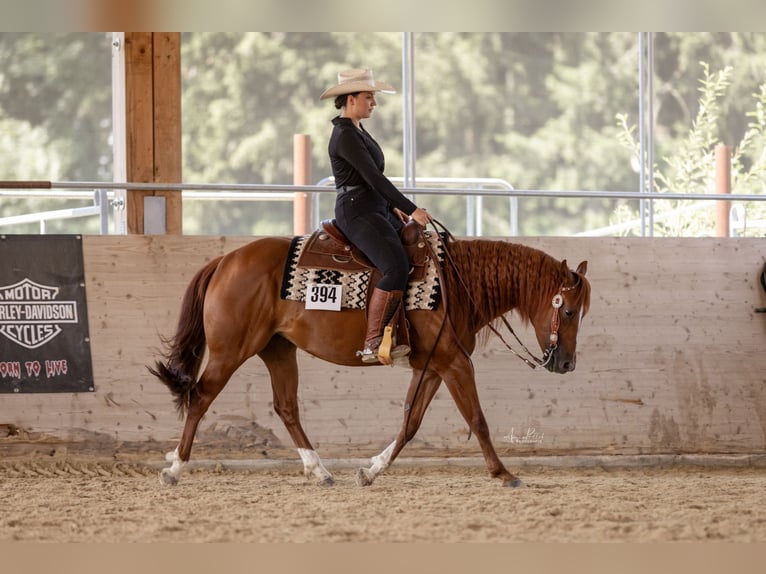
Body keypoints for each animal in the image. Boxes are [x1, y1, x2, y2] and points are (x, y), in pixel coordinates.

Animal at [152, 231, 592, 490]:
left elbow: (410, 422)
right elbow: (477, 419)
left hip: (278, 350)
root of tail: (225, 261)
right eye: (569, 311)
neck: (455, 284)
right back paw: (175, 468)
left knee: (286, 407)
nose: (567, 365)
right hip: (230, 351)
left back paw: (320, 470)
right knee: (200, 397)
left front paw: (372, 469)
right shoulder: (455, 364)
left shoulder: (433, 366)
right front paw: (504, 473)